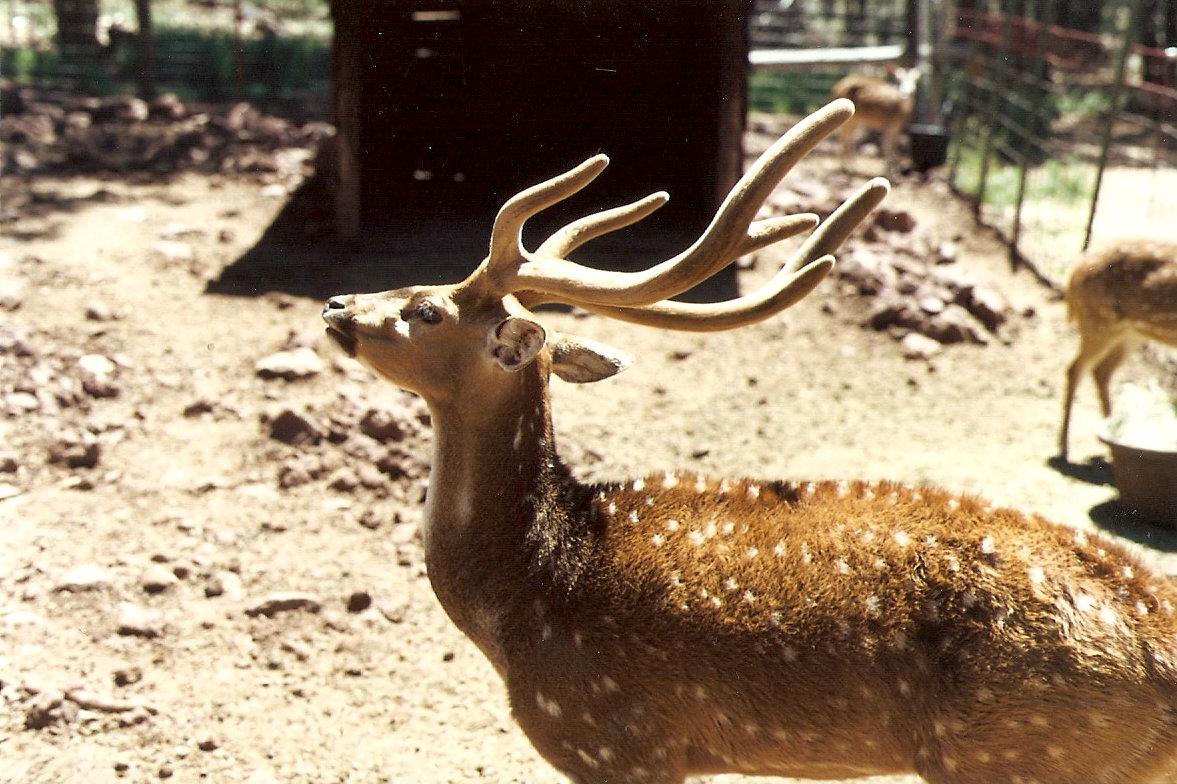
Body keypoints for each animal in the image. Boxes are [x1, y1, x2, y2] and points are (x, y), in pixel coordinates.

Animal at [1058, 238, 1177, 462]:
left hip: (1130, 333)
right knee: (1075, 369)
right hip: (1098, 323)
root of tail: (1073, 273)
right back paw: (1063, 448)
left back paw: (1112, 433)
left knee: (1101, 371)